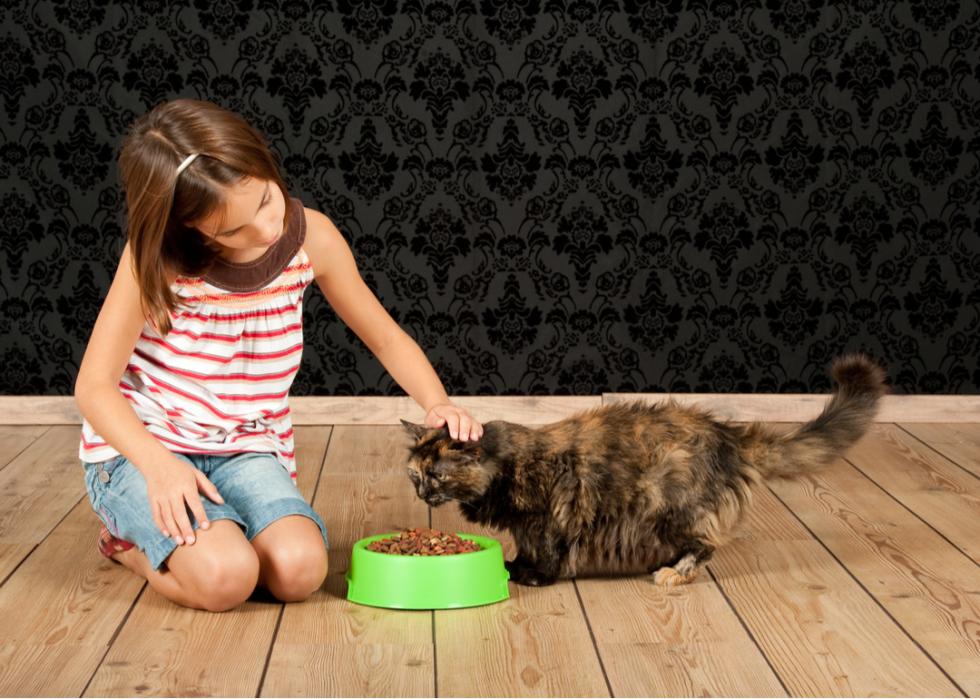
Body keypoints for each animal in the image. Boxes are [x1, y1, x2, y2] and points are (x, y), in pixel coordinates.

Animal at [402, 352, 892, 588]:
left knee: (706, 545)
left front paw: (532, 577)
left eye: (437, 475)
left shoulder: (549, 517)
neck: (505, 465)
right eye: (415, 476)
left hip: (672, 508)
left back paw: (673, 572)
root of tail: (729, 435)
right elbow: (525, 547)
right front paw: (515, 567)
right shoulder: (526, 525)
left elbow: (547, 553)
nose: (422, 495)